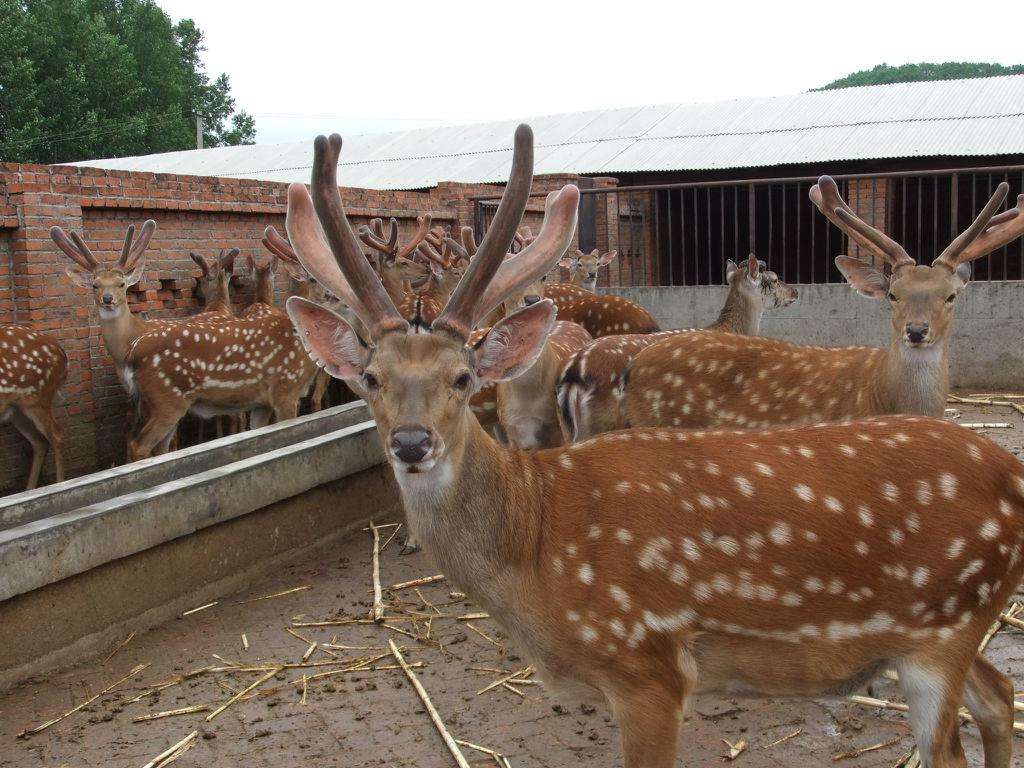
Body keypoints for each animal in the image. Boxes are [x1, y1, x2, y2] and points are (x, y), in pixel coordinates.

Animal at [0, 327, 66, 489]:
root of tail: (61, 352)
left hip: (38, 398)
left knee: (57, 435)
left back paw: (60, 484)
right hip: (16, 410)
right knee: (40, 442)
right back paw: (29, 489)